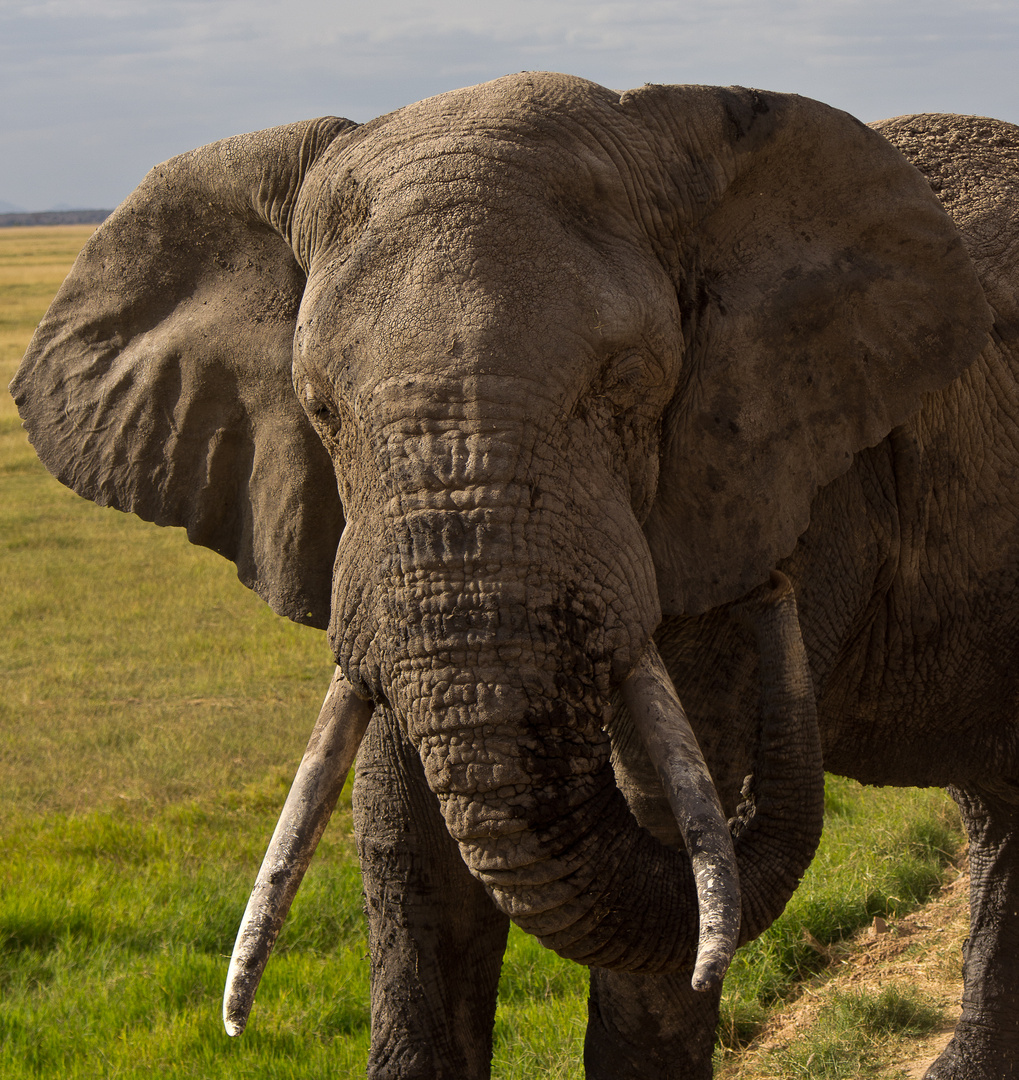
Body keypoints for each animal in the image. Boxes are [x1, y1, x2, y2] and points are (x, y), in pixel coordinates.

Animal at [9, 71, 1019, 1075]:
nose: (776, 588)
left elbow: (667, 825)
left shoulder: (780, 475)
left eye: (628, 382)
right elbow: (405, 838)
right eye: (319, 408)